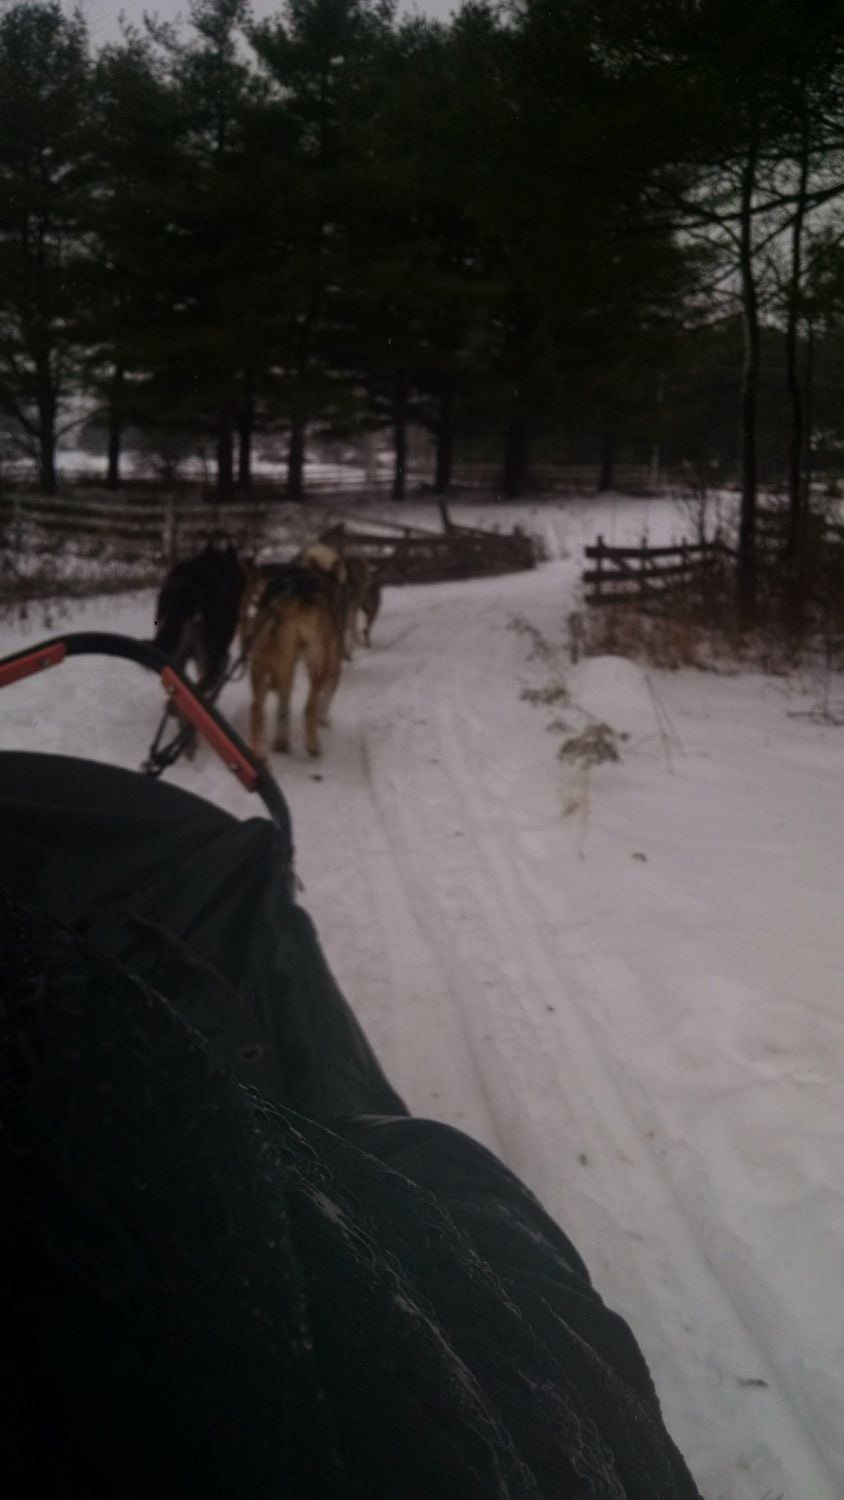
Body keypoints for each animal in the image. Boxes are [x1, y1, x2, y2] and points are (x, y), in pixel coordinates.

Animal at [248, 564, 344, 760]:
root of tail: (295, 593)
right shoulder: (331, 664)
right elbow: (325, 696)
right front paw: (323, 718)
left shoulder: (286, 665)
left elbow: (283, 706)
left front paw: (280, 740)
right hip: (319, 663)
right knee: (309, 707)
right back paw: (313, 743)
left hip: (261, 660)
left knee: (256, 706)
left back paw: (260, 749)